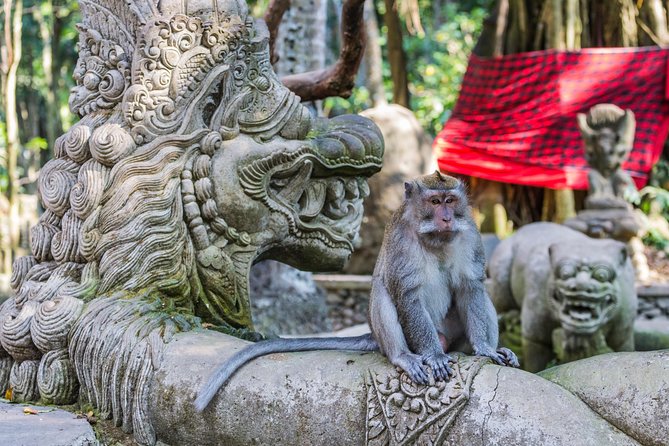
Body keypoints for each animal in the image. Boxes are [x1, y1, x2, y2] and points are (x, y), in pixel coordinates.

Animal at [194, 171, 518, 412]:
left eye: (451, 200)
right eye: (435, 201)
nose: (447, 218)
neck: (435, 239)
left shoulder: (470, 235)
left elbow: (470, 288)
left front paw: (484, 349)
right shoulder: (401, 240)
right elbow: (407, 294)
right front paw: (434, 357)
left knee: (481, 297)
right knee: (383, 293)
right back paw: (404, 356)